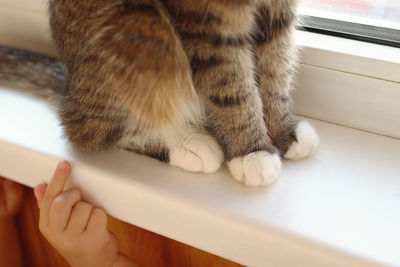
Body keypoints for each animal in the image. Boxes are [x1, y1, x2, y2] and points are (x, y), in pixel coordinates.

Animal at [0, 0, 318, 187]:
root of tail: (69, 83)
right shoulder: (210, 22)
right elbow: (234, 88)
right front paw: (252, 151)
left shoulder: (278, 11)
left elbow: (275, 69)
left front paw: (283, 132)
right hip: (141, 23)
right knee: (87, 129)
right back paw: (184, 144)